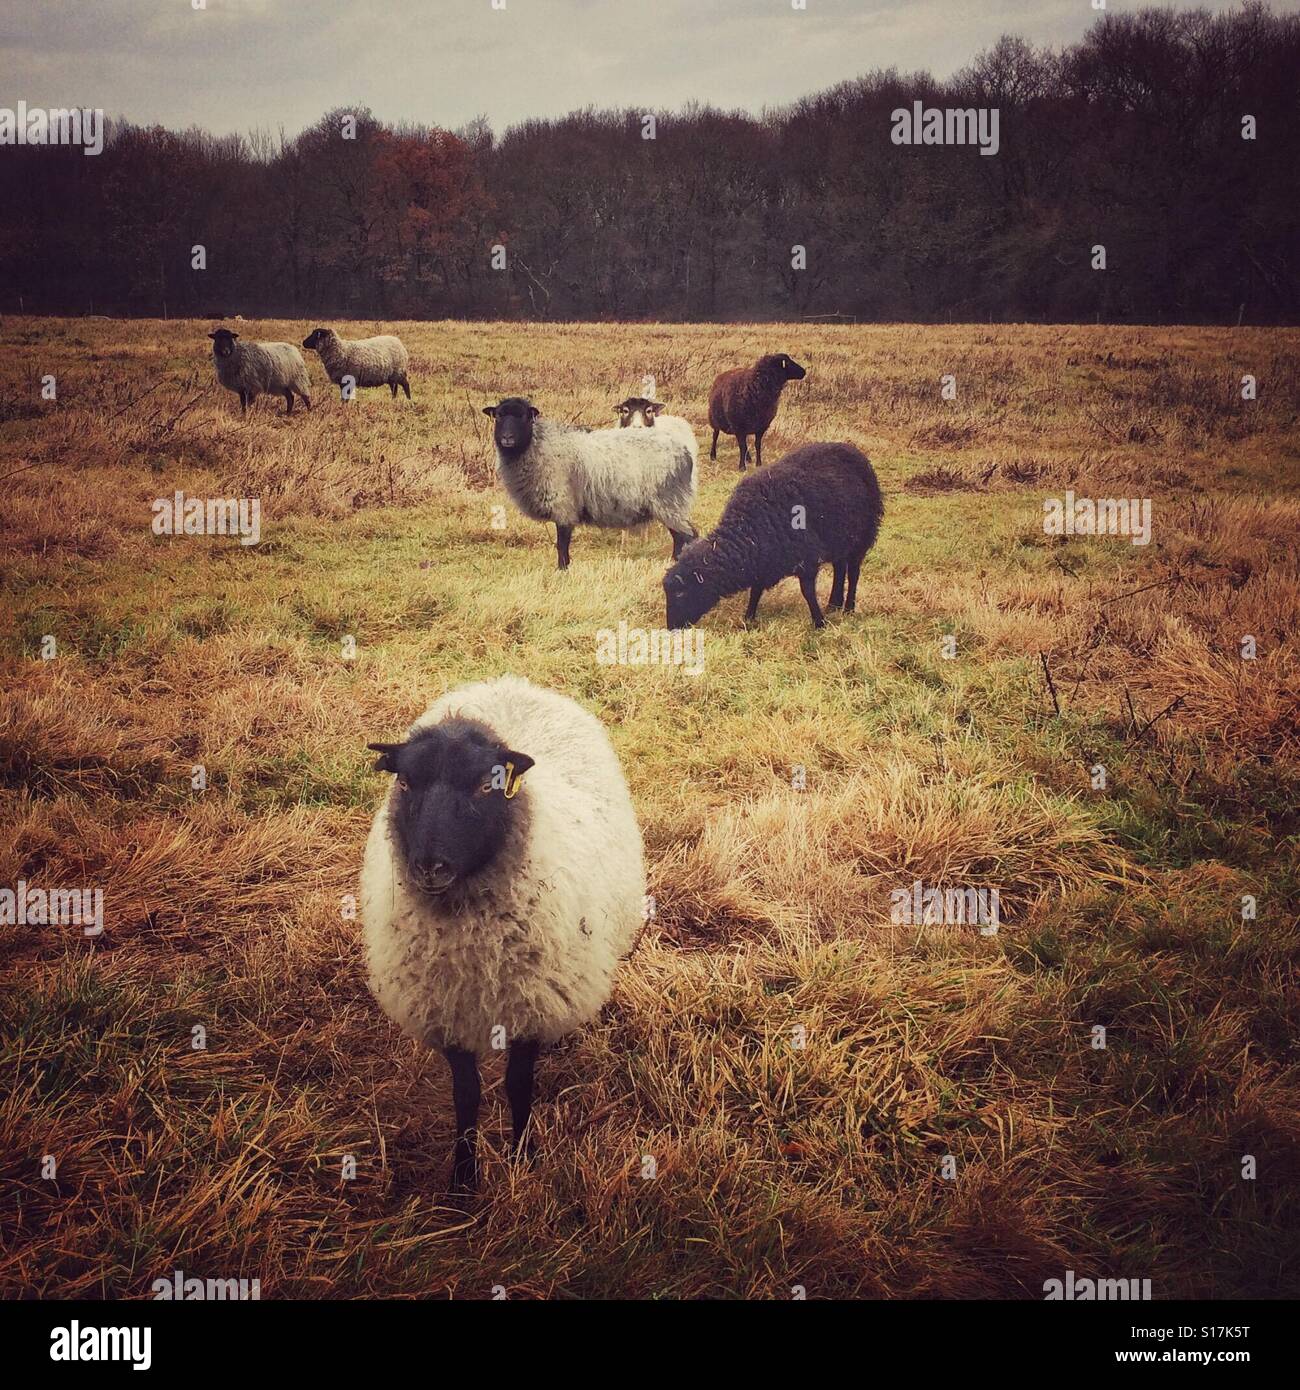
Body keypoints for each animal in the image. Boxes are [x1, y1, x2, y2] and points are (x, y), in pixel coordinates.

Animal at [360, 674, 646, 1192]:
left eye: (484, 785)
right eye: (404, 782)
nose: (430, 866)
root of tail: (512, 683)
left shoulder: (534, 1003)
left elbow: (518, 1084)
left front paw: (524, 1156)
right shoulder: (444, 1012)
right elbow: (466, 1093)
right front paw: (463, 1176)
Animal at [484, 396, 697, 569]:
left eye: (524, 417)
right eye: (498, 416)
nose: (507, 438)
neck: (538, 447)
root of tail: (684, 451)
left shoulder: (564, 505)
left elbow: (562, 544)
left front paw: (562, 570)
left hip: (669, 501)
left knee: (687, 535)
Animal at [664, 441, 883, 630]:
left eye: (681, 593)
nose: (672, 628)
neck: (749, 531)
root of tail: (852, 448)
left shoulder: (807, 559)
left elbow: (808, 593)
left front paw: (819, 623)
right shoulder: (763, 560)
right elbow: (756, 590)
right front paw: (749, 617)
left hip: (863, 536)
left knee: (853, 573)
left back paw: (848, 608)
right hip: (840, 538)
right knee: (839, 568)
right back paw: (833, 605)